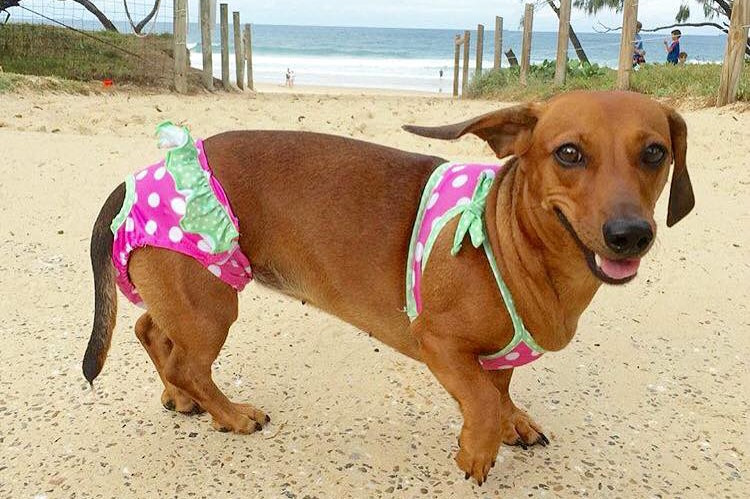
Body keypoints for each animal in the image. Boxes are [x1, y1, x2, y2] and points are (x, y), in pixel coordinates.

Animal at [82, 90, 692, 484]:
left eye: (655, 152)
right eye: (569, 152)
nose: (630, 235)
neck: (507, 235)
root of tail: (137, 177)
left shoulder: (497, 355)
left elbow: (500, 388)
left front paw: (513, 422)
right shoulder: (439, 344)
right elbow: (482, 401)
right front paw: (478, 450)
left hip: (193, 294)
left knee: (151, 332)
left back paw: (181, 397)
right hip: (212, 306)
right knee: (187, 360)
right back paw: (230, 414)